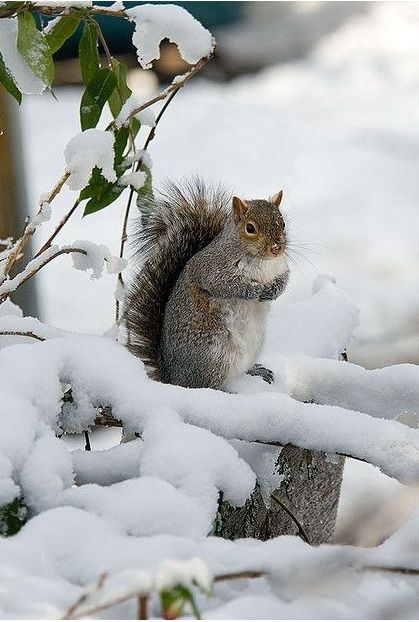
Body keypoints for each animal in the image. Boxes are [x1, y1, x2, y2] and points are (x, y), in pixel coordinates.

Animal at [123, 179, 290, 390]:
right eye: (250, 228)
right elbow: (225, 286)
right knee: (205, 385)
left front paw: (273, 290)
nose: (277, 248)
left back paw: (255, 371)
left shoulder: (281, 267)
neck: (261, 261)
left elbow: (284, 280)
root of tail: (171, 378)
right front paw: (253, 290)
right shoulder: (211, 270)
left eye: (282, 223)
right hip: (213, 354)